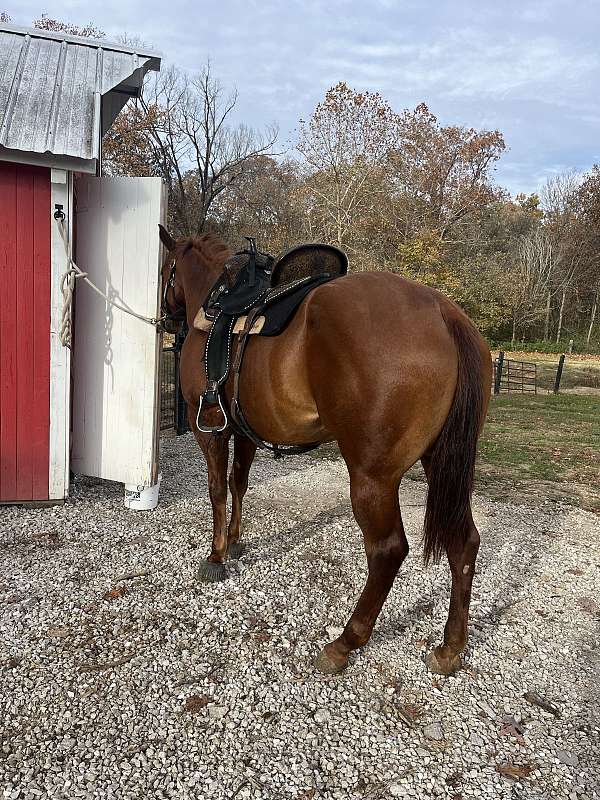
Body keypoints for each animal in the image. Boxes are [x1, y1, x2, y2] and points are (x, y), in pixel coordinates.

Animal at [158, 225, 492, 676]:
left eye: (167, 270)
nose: (166, 315)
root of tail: (443, 312)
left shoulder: (209, 428)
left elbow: (216, 488)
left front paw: (216, 555)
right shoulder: (244, 431)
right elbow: (239, 483)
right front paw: (236, 540)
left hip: (372, 477)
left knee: (388, 551)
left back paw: (346, 641)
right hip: (444, 464)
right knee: (464, 543)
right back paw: (450, 647)